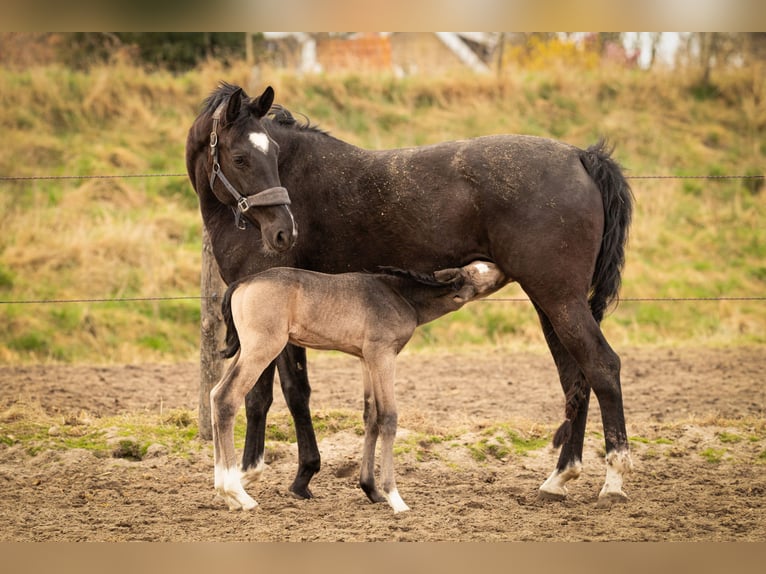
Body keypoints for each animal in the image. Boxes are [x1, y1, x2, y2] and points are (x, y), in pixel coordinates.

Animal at [213, 260, 508, 512]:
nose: (500, 266)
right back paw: (240, 495)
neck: (400, 296)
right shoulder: (383, 355)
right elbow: (389, 417)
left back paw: (225, 494)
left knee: (214, 394)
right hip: (262, 349)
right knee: (227, 398)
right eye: (475, 270)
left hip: (247, 351)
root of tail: (242, 282)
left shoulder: (366, 359)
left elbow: (371, 416)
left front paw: (371, 490)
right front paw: (395, 498)